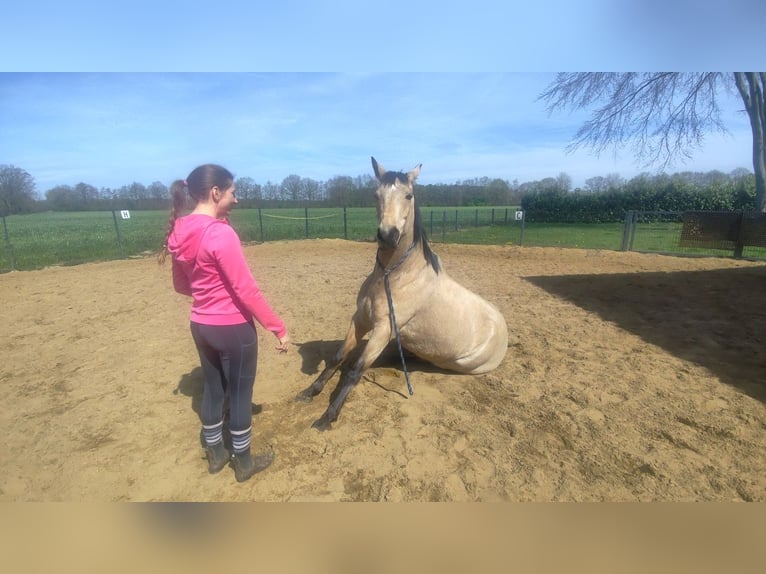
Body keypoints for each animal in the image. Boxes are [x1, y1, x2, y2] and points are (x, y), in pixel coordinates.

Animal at [296, 157, 509, 431]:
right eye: (376, 195)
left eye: (409, 195)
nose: (388, 235)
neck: (393, 276)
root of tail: (503, 329)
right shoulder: (360, 320)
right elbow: (337, 358)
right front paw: (310, 392)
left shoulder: (383, 329)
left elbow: (355, 371)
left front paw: (328, 416)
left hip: (461, 363)